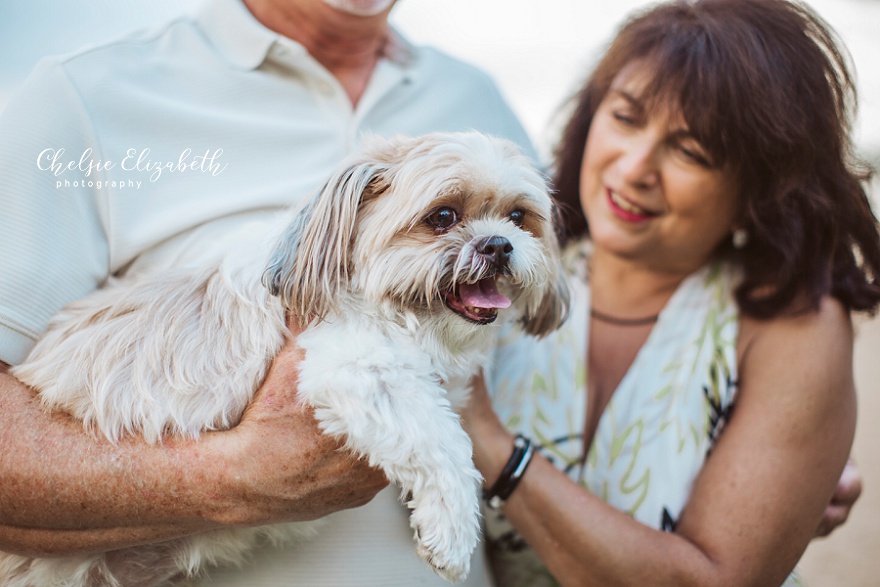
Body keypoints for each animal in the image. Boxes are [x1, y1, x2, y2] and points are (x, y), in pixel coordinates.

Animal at [5, 133, 572, 587]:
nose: (499, 244)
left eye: (519, 217)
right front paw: (453, 532)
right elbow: (443, 444)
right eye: (444, 216)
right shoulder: (351, 365)